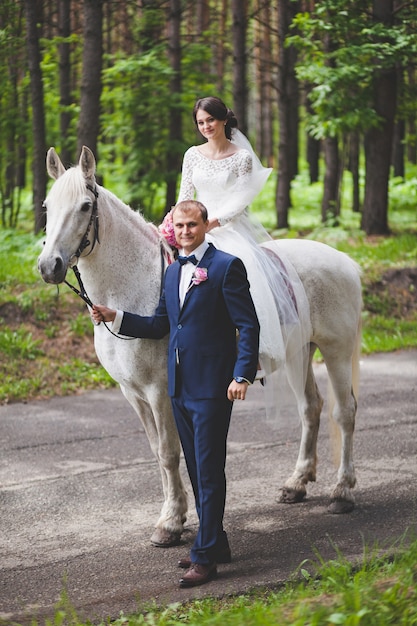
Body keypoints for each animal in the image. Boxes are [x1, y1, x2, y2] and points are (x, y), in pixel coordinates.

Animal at [38, 146, 360, 544]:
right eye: (47, 206)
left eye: (85, 206)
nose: (48, 266)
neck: (134, 288)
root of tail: (345, 261)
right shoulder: (133, 393)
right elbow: (156, 451)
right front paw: (172, 513)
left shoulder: (159, 391)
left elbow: (168, 452)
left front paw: (171, 522)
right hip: (298, 353)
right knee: (310, 408)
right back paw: (296, 484)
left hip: (336, 352)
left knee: (344, 413)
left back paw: (342, 491)